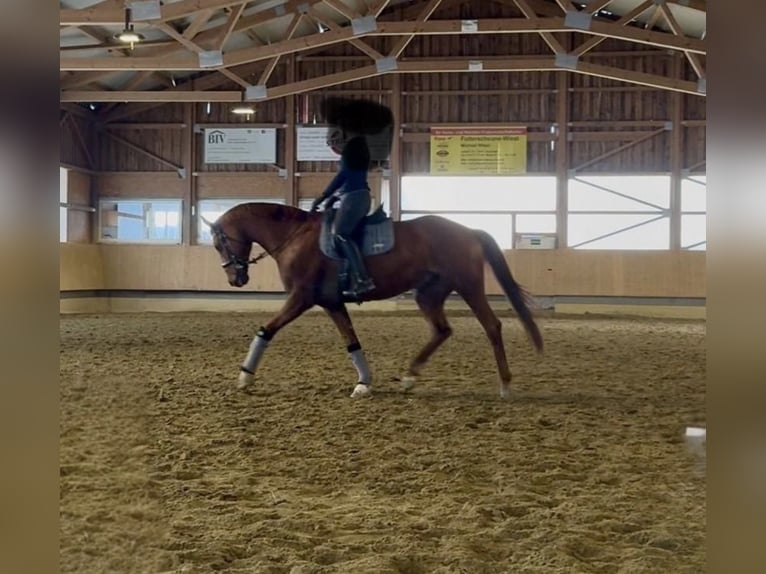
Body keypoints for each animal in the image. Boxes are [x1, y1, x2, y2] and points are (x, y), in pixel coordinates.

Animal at [203, 201, 543, 399]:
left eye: (219, 243)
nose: (235, 279)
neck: (294, 236)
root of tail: (469, 231)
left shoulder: (302, 297)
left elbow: (267, 329)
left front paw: (245, 378)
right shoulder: (332, 302)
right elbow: (351, 342)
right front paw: (364, 383)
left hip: (469, 286)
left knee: (492, 326)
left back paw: (505, 385)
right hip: (428, 294)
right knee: (442, 330)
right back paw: (409, 377)